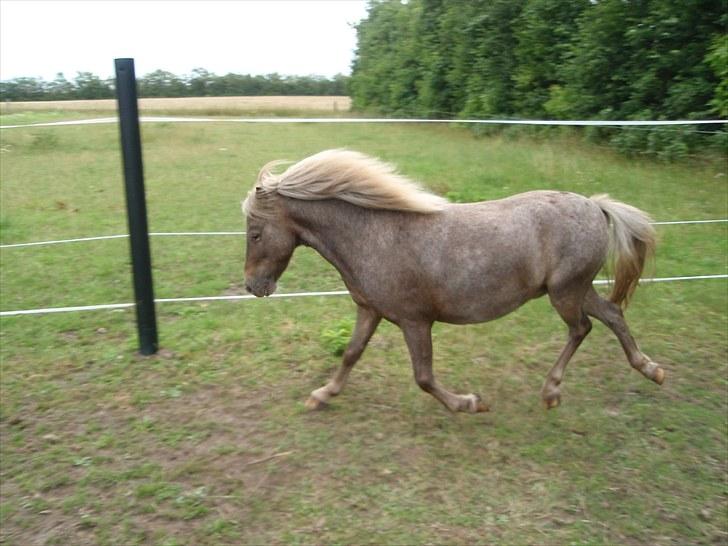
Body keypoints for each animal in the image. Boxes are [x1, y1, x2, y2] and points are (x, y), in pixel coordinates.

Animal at [242, 149, 664, 412]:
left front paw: (470, 403)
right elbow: (351, 354)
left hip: (565, 293)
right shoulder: (369, 310)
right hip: (576, 288)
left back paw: (551, 391)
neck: (373, 235)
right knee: (611, 314)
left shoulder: (415, 321)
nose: (253, 286)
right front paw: (321, 395)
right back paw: (651, 370)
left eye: (255, 233)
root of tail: (595, 205)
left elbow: (424, 377)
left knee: (582, 328)